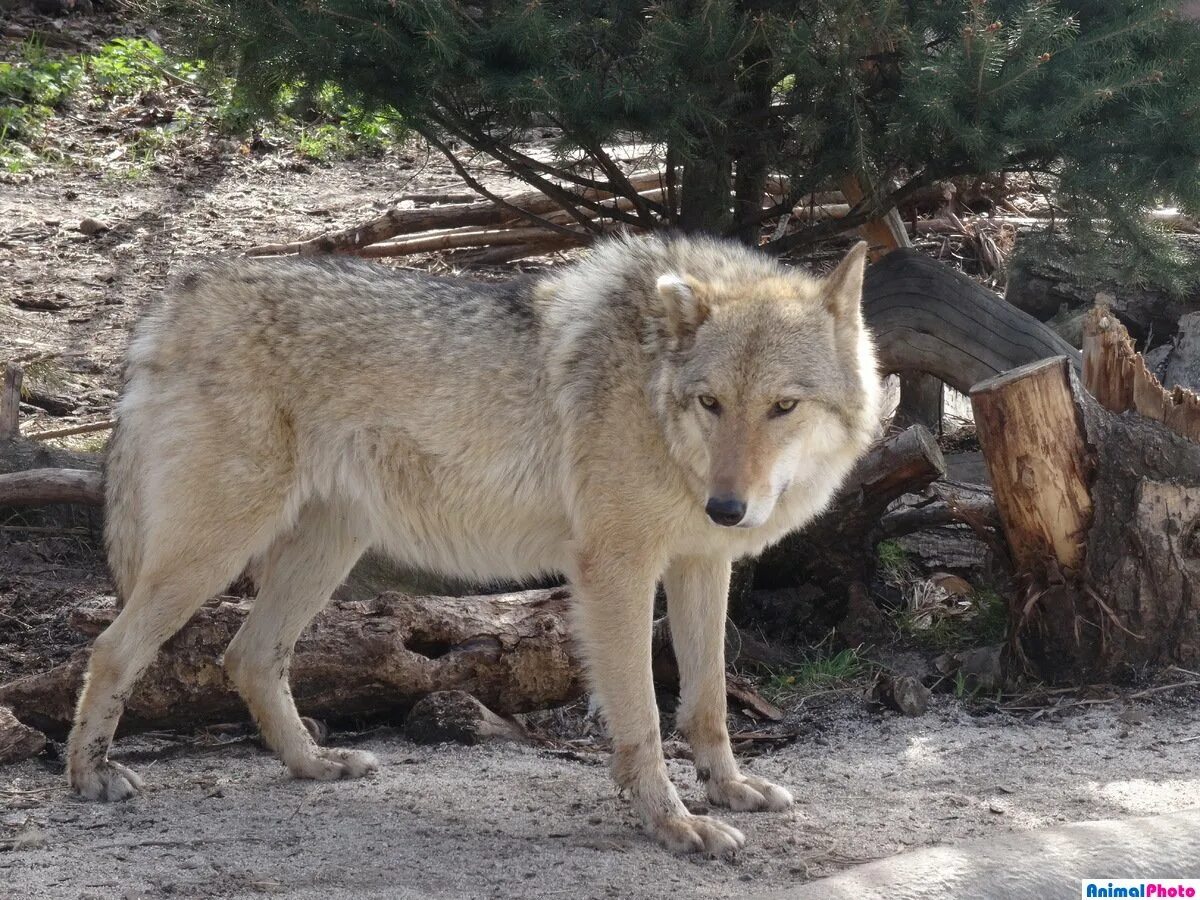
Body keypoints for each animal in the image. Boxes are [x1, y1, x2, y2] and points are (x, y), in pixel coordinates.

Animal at [68, 230, 883, 854]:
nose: (727, 507)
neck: (653, 391)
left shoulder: (700, 563)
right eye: (712, 402)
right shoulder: (616, 570)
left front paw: (730, 790)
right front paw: (673, 824)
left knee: (248, 656)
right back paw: (89, 777)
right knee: (111, 648)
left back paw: (312, 764)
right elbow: (646, 720)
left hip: (322, 553)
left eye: (783, 406)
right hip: (213, 554)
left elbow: (708, 700)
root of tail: (176, 295)